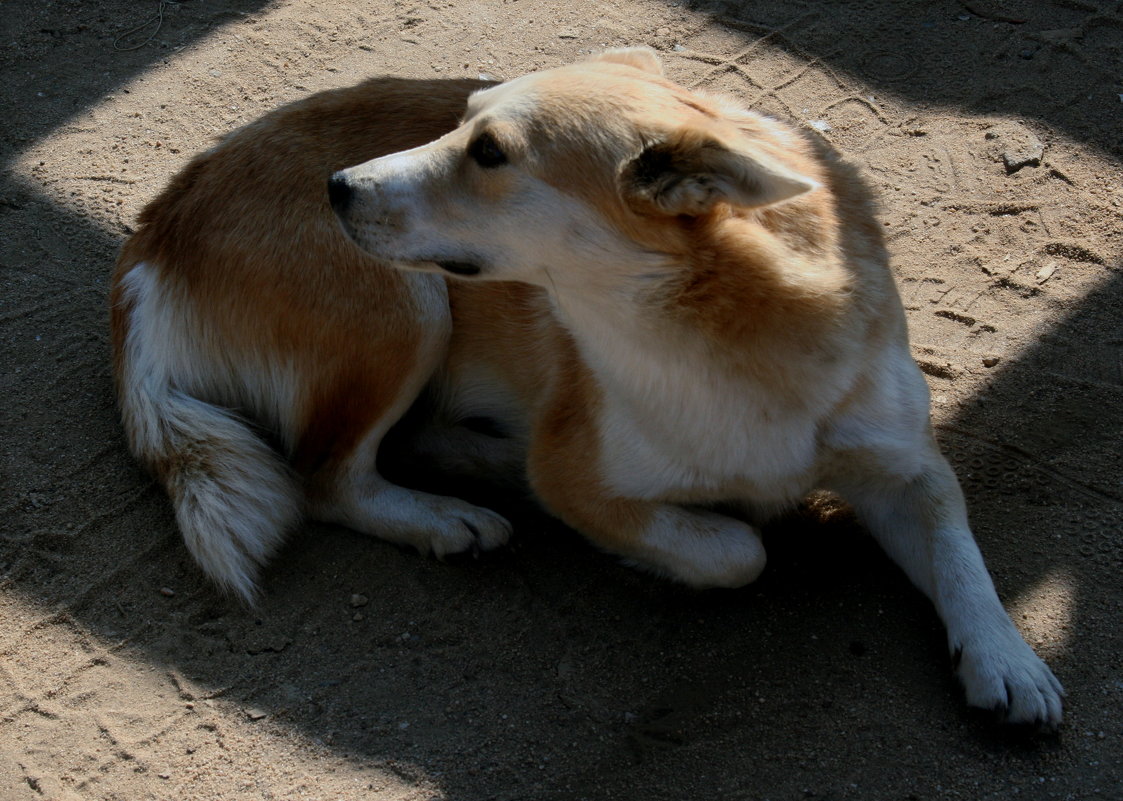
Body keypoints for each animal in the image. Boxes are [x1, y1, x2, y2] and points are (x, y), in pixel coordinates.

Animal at [109, 48, 1064, 723]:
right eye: (460, 124)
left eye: (487, 151)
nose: (337, 185)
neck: (729, 336)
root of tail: (158, 223)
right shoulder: (582, 472)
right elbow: (735, 550)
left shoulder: (905, 466)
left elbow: (960, 553)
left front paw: (1007, 660)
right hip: (408, 307)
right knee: (325, 475)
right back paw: (448, 515)